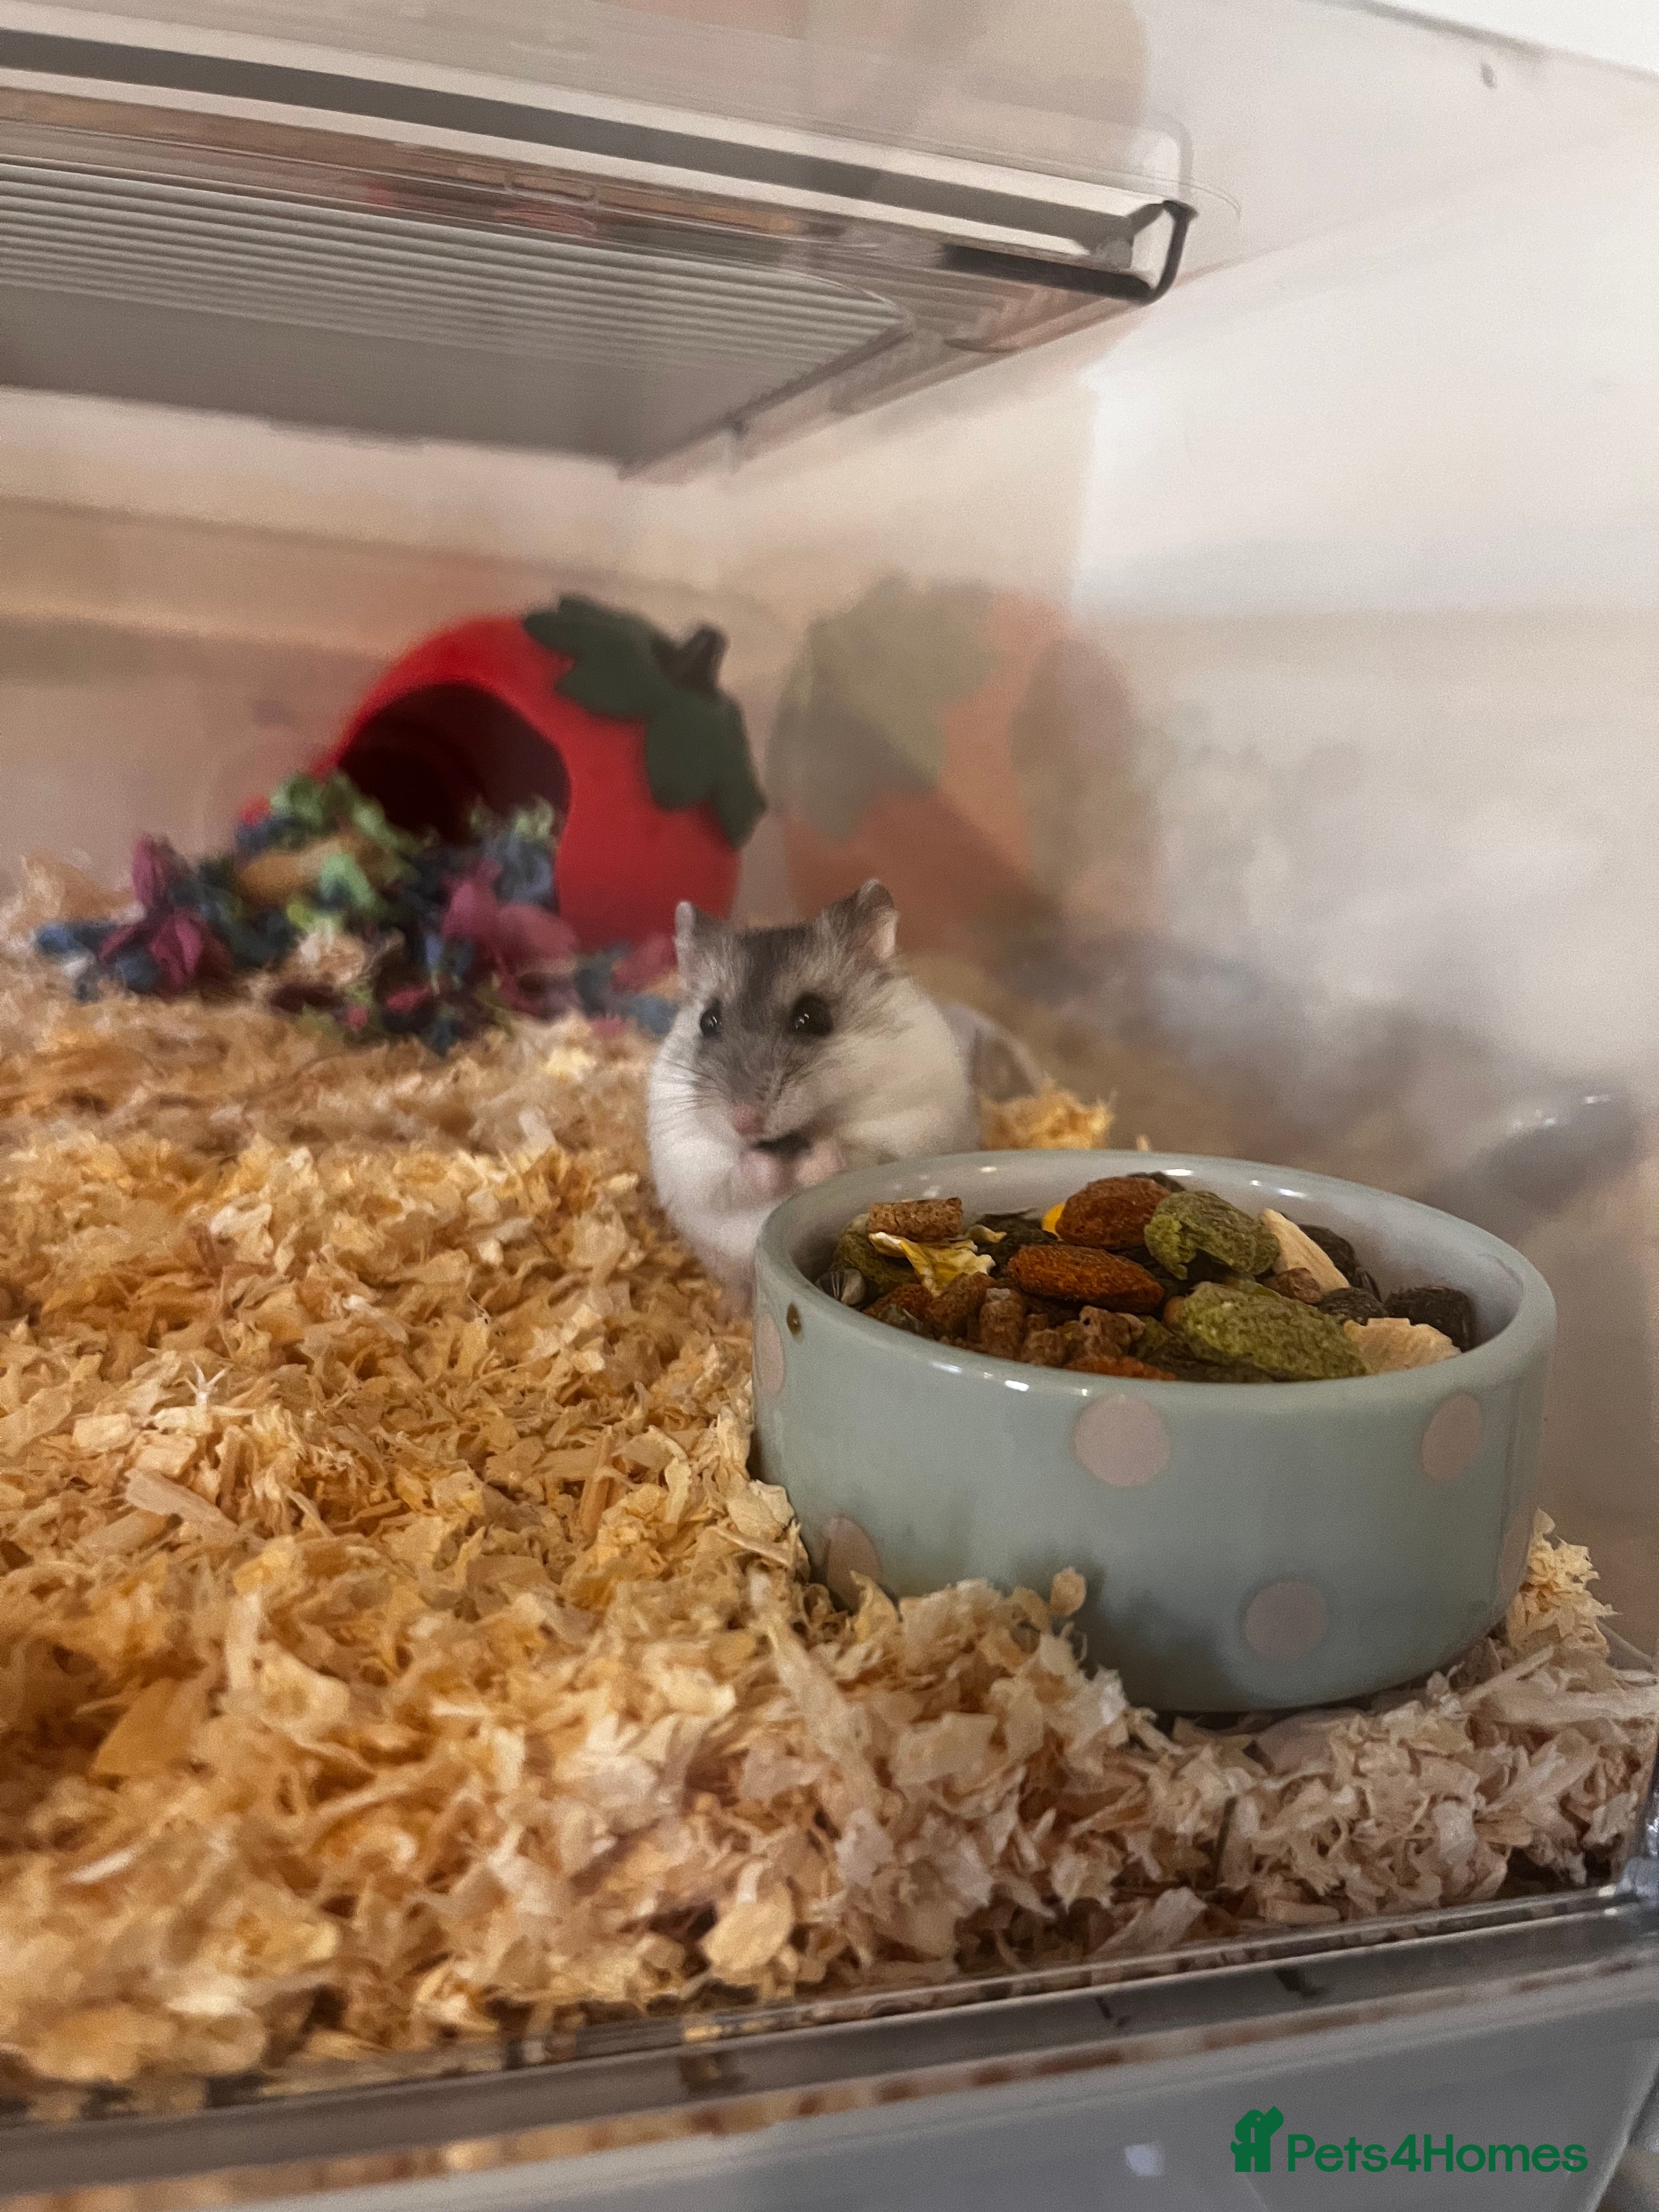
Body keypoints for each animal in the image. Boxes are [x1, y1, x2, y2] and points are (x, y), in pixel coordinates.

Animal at [647, 881, 979, 1309]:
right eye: (708, 1022)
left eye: (813, 1017)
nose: (745, 1122)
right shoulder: (688, 1154)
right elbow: (734, 1173)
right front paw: (769, 1166)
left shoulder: (908, 1126)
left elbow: (847, 1152)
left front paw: (811, 1161)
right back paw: (727, 1311)